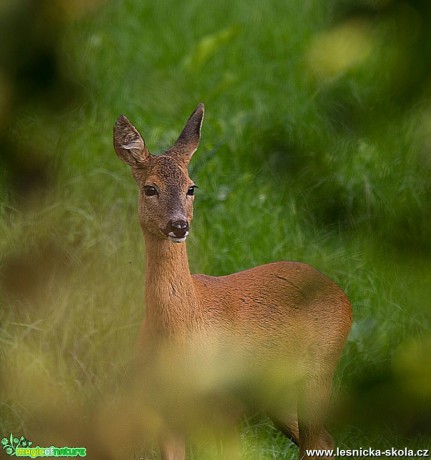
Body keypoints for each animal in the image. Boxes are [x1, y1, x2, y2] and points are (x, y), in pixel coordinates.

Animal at [113, 104, 352, 460]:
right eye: (150, 188)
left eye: (191, 187)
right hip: (277, 394)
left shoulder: (224, 410)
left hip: (319, 368)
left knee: (315, 440)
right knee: (324, 440)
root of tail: (341, 294)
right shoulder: (166, 413)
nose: (179, 225)